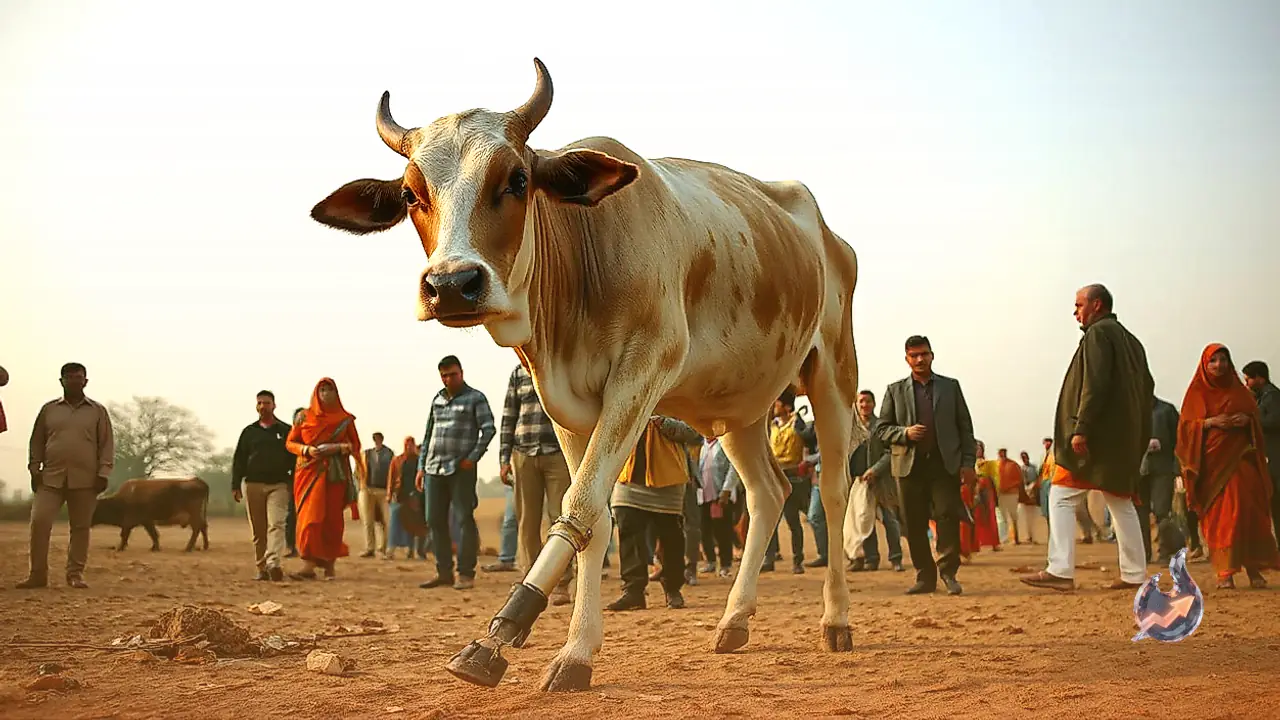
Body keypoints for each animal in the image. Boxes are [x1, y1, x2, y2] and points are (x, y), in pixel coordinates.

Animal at [310, 58, 865, 693]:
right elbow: (594, 520)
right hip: (738, 405)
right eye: (409, 193)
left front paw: (502, 639)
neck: (583, 257)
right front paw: (577, 649)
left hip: (834, 372)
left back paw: (837, 620)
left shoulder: (643, 371)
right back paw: (735, 620)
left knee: (832, 489)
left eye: (517, 179)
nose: (451, 284)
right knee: (769, 493)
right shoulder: (567, 408)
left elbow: (578, 505)